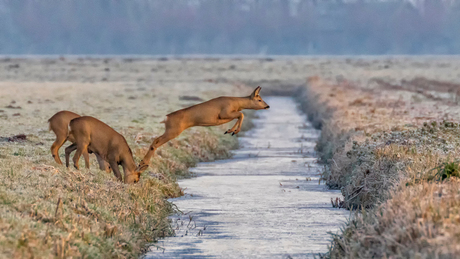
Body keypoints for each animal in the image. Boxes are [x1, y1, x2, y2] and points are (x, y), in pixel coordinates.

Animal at [139, 86, 270, 170]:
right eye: (259, 99)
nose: (267, 106)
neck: (236, 103)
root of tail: (167, 117)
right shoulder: (224, 113)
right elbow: (241, 114)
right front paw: (234, 131)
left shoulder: (226, 116)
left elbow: (240, 115)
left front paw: (230, 131)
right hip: (173, 130)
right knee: (155, 142)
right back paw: (142, 165)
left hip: (170, 130)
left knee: (155, 140)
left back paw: (142, 165)